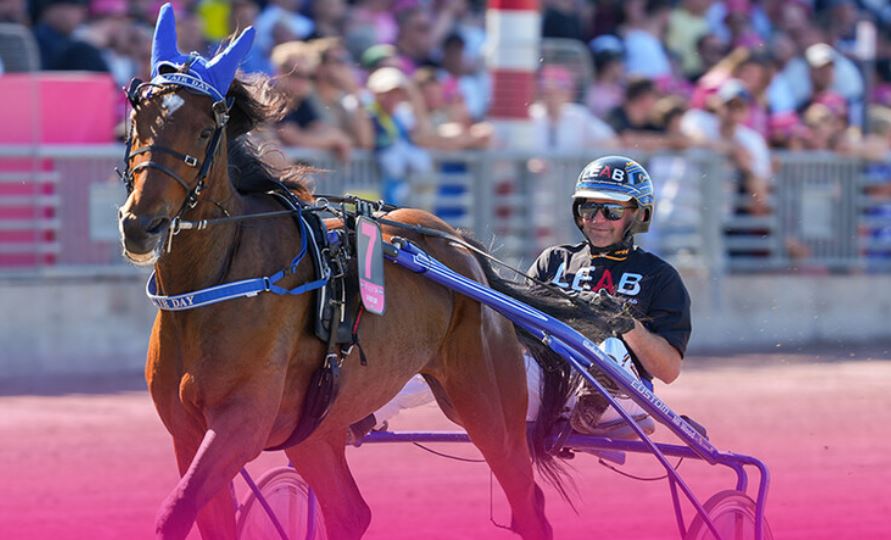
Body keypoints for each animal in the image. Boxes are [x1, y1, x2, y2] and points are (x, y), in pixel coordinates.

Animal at [117, 51, 631, 540]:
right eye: (138, 123)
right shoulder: (187, 432)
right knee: (350, 512)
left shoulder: (240, 423)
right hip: (316, 427)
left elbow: (176, 511)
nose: (142, 224)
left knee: (527, 503)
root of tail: (458, 247)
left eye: (204, 132)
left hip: (489, 407)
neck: (218, 285)